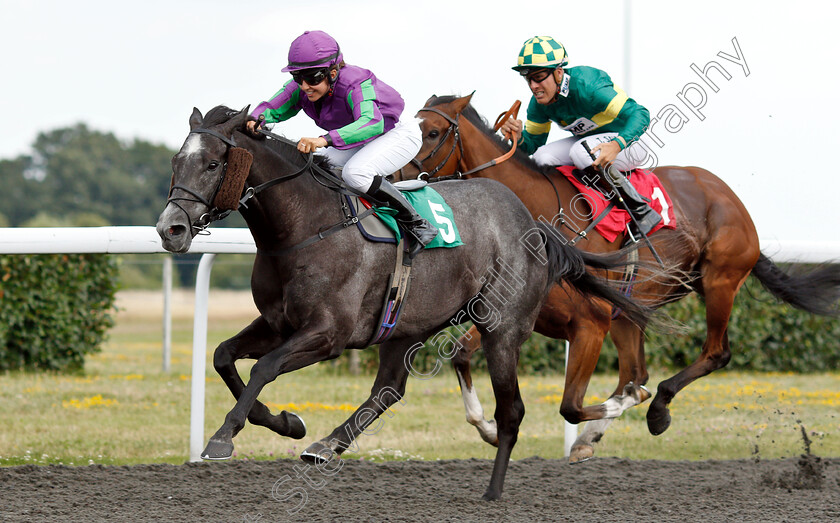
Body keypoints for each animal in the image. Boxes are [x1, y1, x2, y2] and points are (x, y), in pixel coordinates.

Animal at [156, 105, 656, 500]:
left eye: (214, 163)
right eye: (177, 161)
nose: (170, 229)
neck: (304, 226)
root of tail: (531, 223)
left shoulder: (327, 334)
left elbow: (263, 367)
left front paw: (222, 437)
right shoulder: (279, 323)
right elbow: (224, 357)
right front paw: (285, 422)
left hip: (502, 327)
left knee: (511, 410)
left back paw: (495, 490)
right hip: (406, 324)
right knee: (389, 389)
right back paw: (325, 444)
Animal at [398, 94, 840, 462]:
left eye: (432, 132)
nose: (394, 180)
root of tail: (731, 198)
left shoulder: (589, 321)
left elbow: (573, 405)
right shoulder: (516, 314)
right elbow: (461, 355)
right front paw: (490, 428)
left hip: (720, 282)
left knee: (712, 354)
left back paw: (657, 410)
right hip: (632, 309)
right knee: (635, 372)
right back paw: (594, 434)